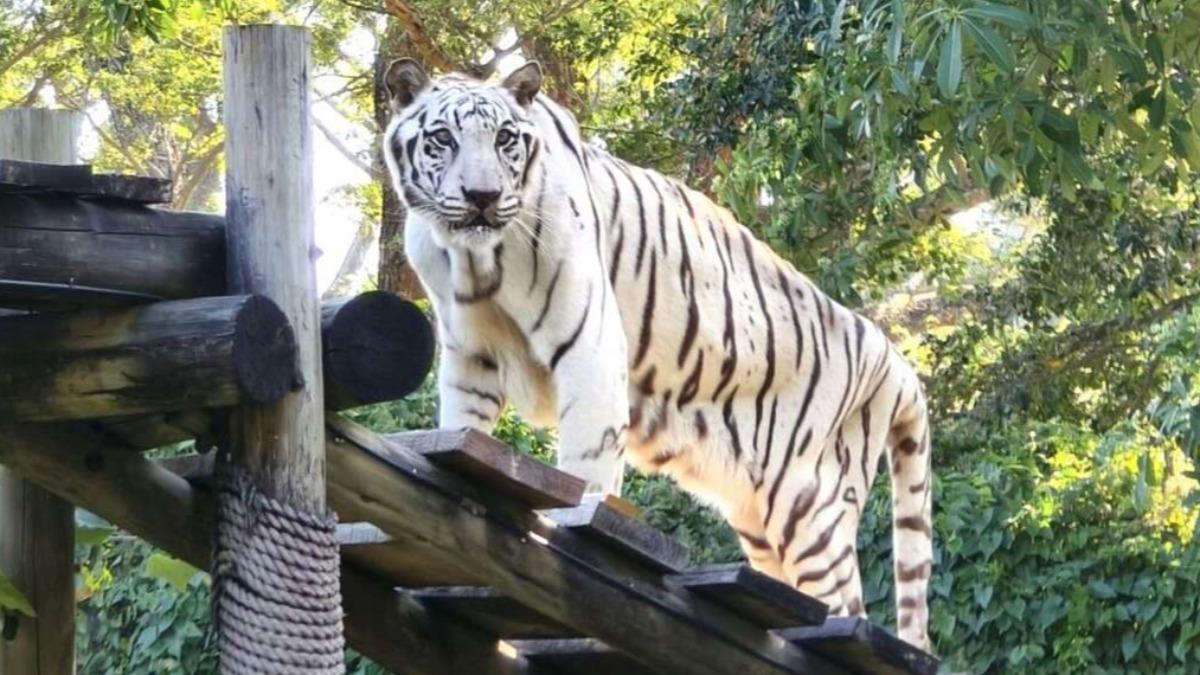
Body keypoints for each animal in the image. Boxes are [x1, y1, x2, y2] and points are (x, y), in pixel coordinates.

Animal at [381, 58, 934, 651]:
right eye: (443, 138)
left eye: (505, 138)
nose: (482, 196)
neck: (475, 261)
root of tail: (894, 359)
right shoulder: (471, 356)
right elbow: (463, 428)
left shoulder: (590, 348)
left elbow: (587, 467)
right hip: (761, 520)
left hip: (812, 507)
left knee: (848, 613)